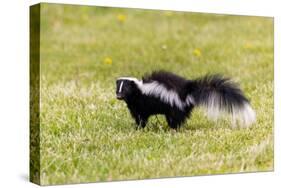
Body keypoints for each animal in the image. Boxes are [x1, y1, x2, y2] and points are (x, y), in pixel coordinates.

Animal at [115, 70, 255, 129]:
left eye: (125, 90)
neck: (139, 90)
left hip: (175, 105)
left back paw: (173, 129)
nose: (118, 96)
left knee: (176, 118)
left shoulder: (141, 104)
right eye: (117, 89)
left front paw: (139, 127)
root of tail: (187, 92)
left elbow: (141, 117)